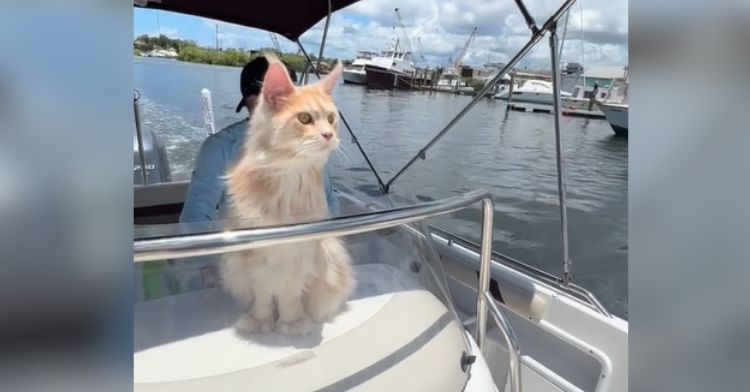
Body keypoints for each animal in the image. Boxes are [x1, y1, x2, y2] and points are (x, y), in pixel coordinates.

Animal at [222, 54, 354, 336]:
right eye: (304, 118)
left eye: (331, 118)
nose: (329, 135)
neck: (290, 179)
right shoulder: (256, 259)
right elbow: (263, 296)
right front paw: (261, 322)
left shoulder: (301, 256)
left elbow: (289, 297)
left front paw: (291, 324)